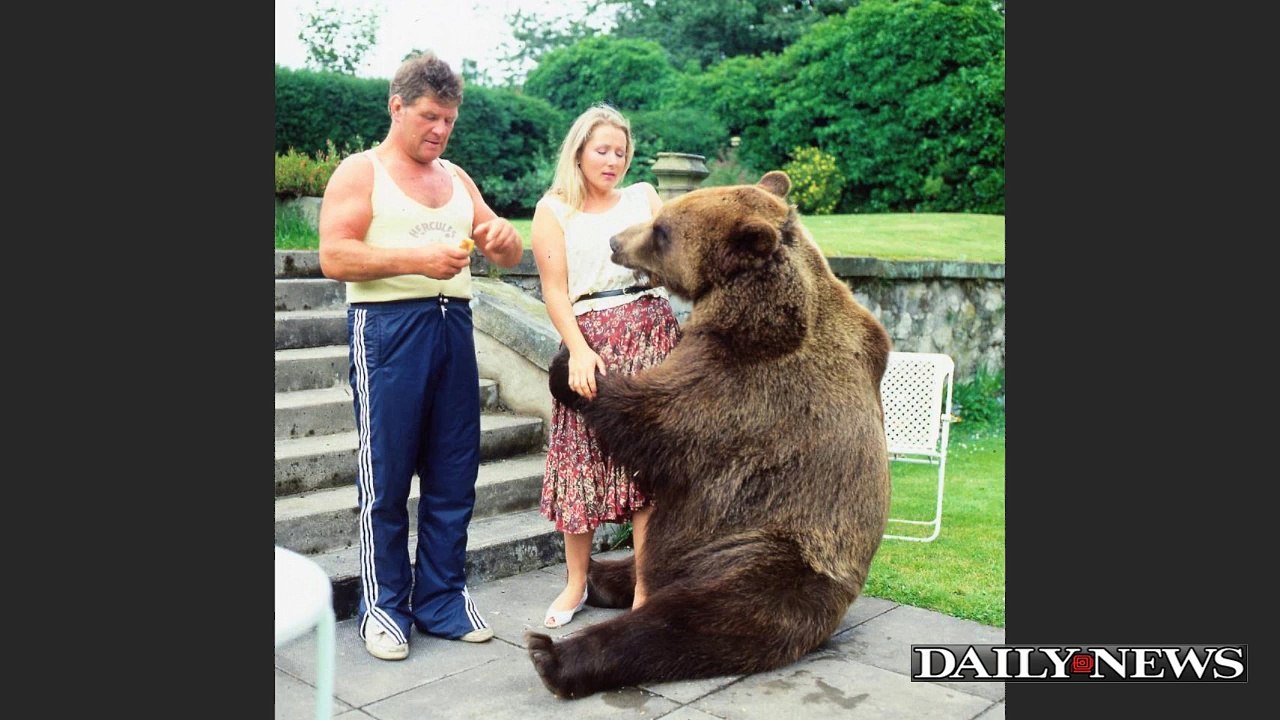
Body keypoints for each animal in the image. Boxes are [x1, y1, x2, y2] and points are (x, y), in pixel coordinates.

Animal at [526, 170, 893, 699]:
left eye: (661, 230)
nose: (615, 241)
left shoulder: (747, 380)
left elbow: (655, 421)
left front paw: (571, 371)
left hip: (768, 556)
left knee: (689, 620)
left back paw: (555, 656)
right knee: (650, 571)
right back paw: (599, 575)